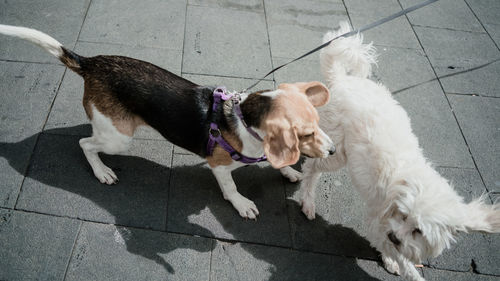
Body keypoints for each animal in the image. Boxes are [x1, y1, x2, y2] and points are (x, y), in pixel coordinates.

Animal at [0, 24, 336, 219]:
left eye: (319, 124)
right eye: (305, 134)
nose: (334, 151)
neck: (241, 118)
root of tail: (92, 62)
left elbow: (276, 162)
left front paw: (290, 173)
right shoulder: (219, 166)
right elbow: (230, 187)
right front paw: (242, 204)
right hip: (120, 138)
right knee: (85, 144)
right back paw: (102, 172)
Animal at [298, 21, 500, 280]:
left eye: (419, 231)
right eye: (403, 215)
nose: (395, 236)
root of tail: (343, 80)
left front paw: (390, 260)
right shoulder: (379, 222)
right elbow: (401, 259)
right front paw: (402, 265)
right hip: (338, 150)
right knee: (312, 167)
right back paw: (307, 200)